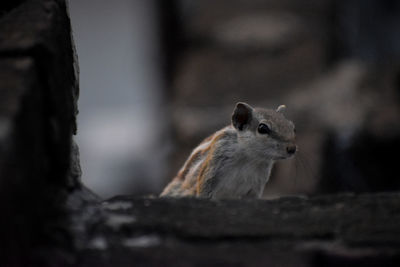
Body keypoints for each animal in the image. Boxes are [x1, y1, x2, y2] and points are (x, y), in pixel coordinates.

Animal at [160, 102, 296, 199]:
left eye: (292, 127)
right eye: (262, 128)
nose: (292, 149)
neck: (250, 157)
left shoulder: (256, 187)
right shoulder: (211, 171)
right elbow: (204, 191)